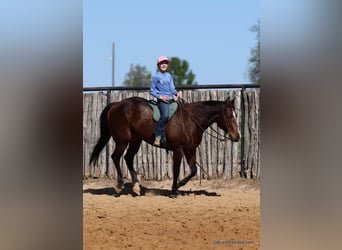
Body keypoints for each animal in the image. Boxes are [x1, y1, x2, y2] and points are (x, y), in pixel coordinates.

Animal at [91, 96, 240, 196]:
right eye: (228, 116)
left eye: (236, 115)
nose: (237, 136)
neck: (190, 120)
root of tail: (116, 105)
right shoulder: (178, 149)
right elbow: (176, 170)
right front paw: (174, 189)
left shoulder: (190, 150)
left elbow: (193, 170)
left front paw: (178, 185)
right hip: (122, 141)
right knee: (115, 157)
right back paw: (119, 185)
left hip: (135, 141)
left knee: (128, 158)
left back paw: (136, 187)